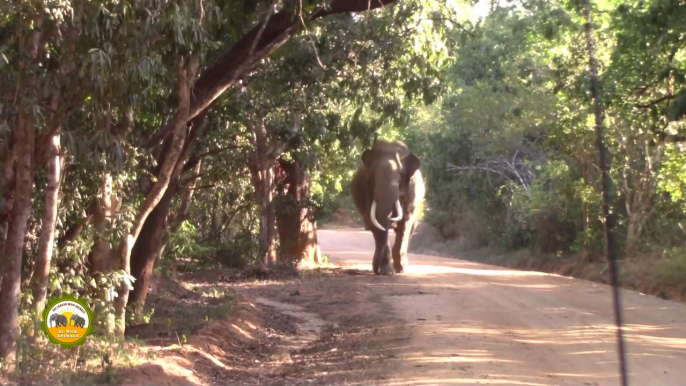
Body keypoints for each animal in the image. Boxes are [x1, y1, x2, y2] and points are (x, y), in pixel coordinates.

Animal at [354, 139, 424, 274]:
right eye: (372, 173)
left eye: (401, 174)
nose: (376, 269)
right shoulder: (368, 188)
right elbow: (376, 220)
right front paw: (386, 272)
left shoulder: (411, 190)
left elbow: (405, 222)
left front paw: (400, 269)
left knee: (411, 227)